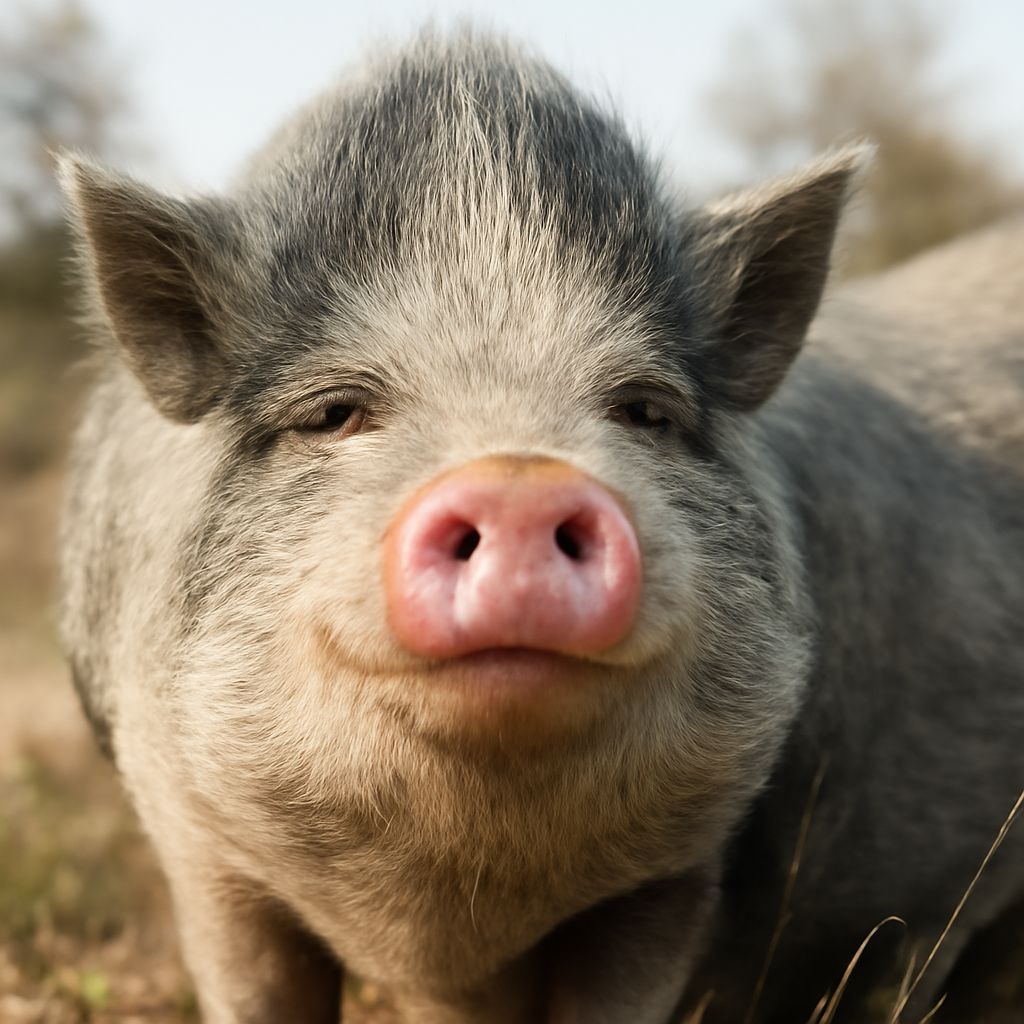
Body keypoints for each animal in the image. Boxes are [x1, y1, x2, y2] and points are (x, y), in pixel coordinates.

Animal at [58, 28, 1024, 1024]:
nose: (520, 479)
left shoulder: (671, 880)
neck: (453, 921)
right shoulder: (198, 852)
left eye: (644, 410)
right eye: (333, 413)